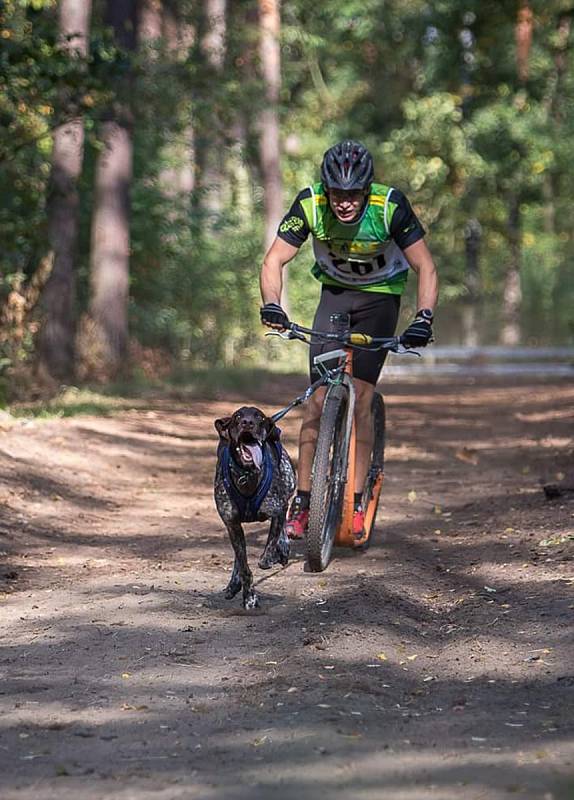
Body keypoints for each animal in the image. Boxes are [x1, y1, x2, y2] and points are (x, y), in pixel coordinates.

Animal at [215, 410, 296, 608]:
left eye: (259, 416)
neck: (247, 475)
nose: (247, 422)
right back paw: (233, 584)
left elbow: (272, 539)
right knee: (238, 557)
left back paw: (282, 548)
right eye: (237, 417)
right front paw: (249, 595)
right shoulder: (232, 524)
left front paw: (270, 556)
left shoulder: (278, 508)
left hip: (289, 484)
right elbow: (243, 565)